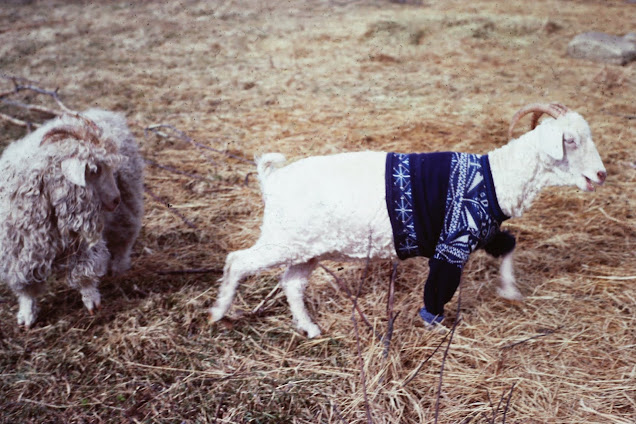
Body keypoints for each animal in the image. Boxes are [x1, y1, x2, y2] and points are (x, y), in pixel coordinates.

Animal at [0, 109, 144, 328]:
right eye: (94, 170)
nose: (115, 199)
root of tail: (105, 113)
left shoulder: (83, 239)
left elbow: (85, 272)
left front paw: (92, 301)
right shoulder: (20, 251)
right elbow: (26, 285)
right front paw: (26, 314)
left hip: (129, 202)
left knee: (125, 236)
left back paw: (118, 267)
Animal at [209, 103, 607, 338]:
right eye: (570, 141)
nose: (601, 175)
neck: (495, 176)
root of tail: (272, 180)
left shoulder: (480, 232)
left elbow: (508, 244)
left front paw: (510, 291)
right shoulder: (452, 241)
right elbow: (439, 288)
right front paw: (435, 326)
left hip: (307, 248)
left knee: (292, 283)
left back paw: (310, 328)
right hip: (283, 239)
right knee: (237, 261)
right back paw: (219, 314)